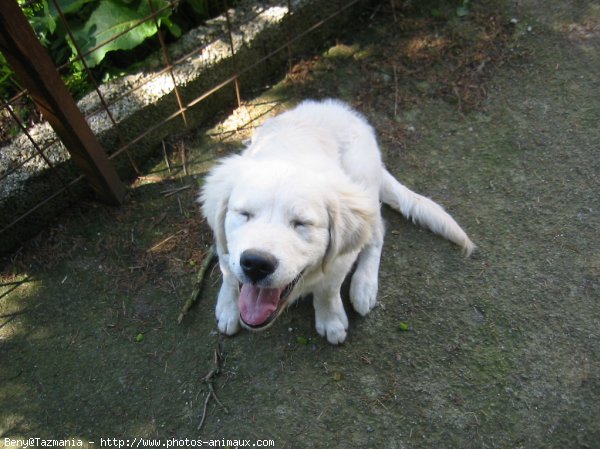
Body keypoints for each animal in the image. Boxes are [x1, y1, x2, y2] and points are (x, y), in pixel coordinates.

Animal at [199, 99, 476, 344]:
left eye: (301, 223)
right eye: (244, 214)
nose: (256, 264)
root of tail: (339, 109)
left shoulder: (340, 259)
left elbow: (328, 290)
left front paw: (330, 320)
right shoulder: (225, 246)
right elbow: (228, 272)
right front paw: (228, 306)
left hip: (362, 179)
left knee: (376, 234)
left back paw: (364, 286)